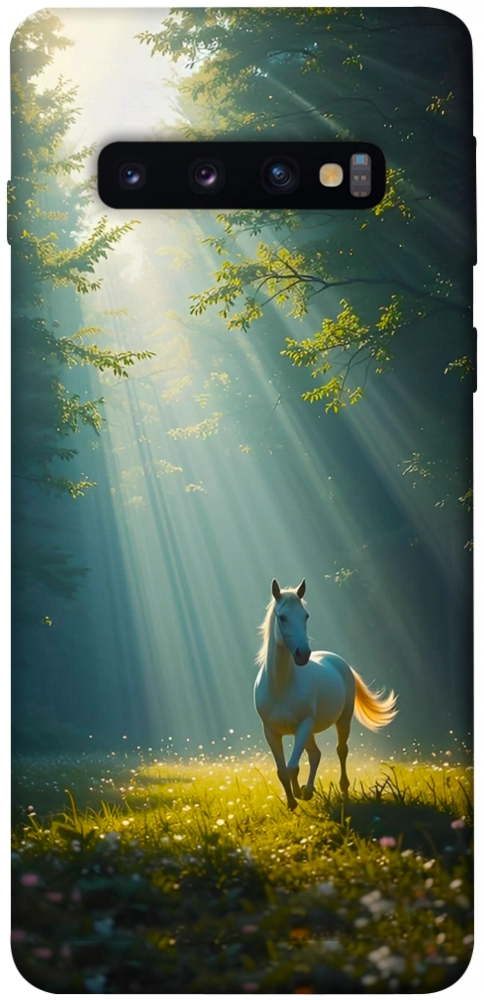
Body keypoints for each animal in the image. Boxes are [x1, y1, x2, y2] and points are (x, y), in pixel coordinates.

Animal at [254, 578, 398, 810]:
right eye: (282, 617)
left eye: (305, 616)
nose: (303, 654)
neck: (281, 686)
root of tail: (338, 661)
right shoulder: (271, 732)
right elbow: (282, 771)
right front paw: (293, 802)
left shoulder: (303, 725)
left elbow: (293, 767)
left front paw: (299, 793)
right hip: (309, 731)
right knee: (315, 755)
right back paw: (309, 791)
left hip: (342, 720)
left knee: (341, 751)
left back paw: (342, 789)